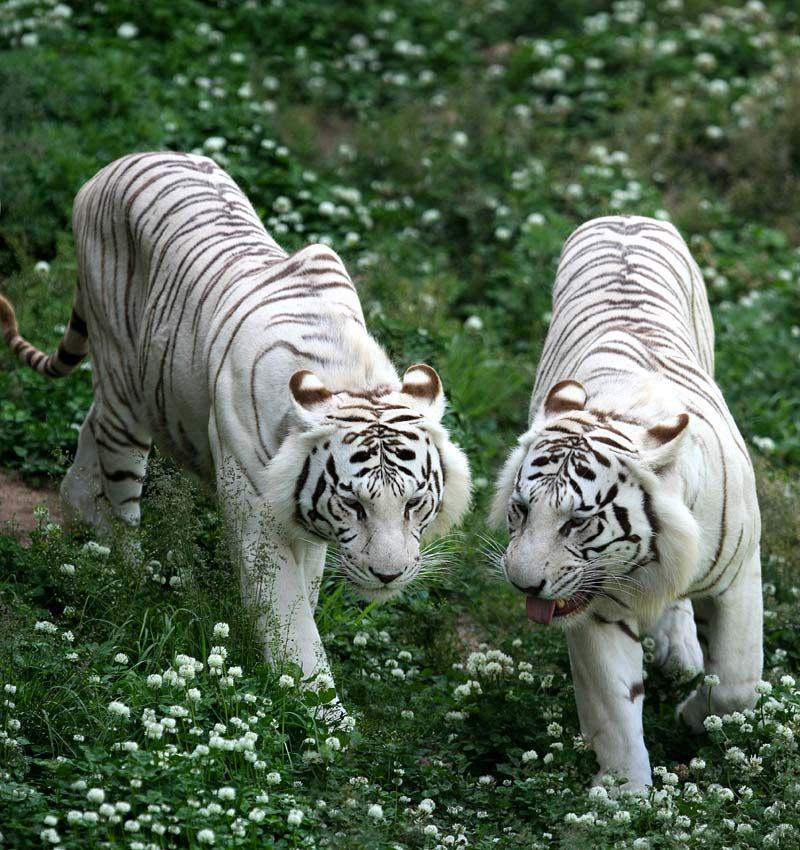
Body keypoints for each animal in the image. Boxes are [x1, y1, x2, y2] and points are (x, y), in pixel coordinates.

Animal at [0, 151, 471, 707]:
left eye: (415, 502)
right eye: (354, 504)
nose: (389, 575)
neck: (348, 378)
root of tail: (117, 164)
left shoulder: (306, 520)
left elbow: (308, 590)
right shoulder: (256, 509)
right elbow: (291, 623)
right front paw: (320, 712)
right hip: (124, 387)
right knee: (123, 508)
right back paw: (131, 579)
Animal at [491, 215, 761, 789]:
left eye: (577, 522)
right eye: (520, 509)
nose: (522, 585)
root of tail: (626, 217)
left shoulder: (740, 573)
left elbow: (736, 682)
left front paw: (693, 717)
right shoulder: (598, 608)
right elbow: (614, 710)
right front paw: (625, 796)